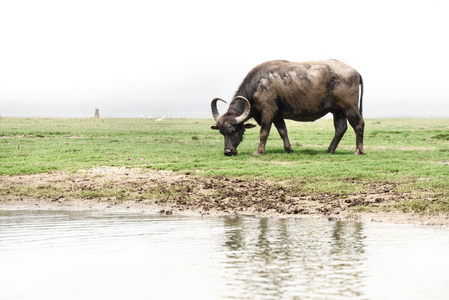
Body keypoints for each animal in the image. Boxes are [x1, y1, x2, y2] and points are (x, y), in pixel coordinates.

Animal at [211, 59, 364, 156]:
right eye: (222, 132)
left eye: (235, 130)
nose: (228, 152)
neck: (256, 86)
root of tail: (355, 72)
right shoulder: (277, 117)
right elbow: (283, 131)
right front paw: (287, 149)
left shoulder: (268, 113)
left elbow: (263, 132)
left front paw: (259, 152)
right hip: (337, 111)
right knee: (340, 128)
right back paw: (329, 150)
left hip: (349, 108)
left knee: (358, 124)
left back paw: (358, 151)